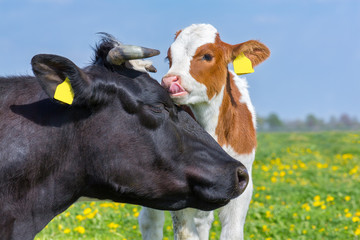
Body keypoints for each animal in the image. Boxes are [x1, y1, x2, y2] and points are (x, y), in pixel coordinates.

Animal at [139, 23, 268, 240]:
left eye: (207, 56)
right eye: (169, 57)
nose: (169, 82)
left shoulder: (243, 182)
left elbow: (232, 233)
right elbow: (185, 233)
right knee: (150, 221)